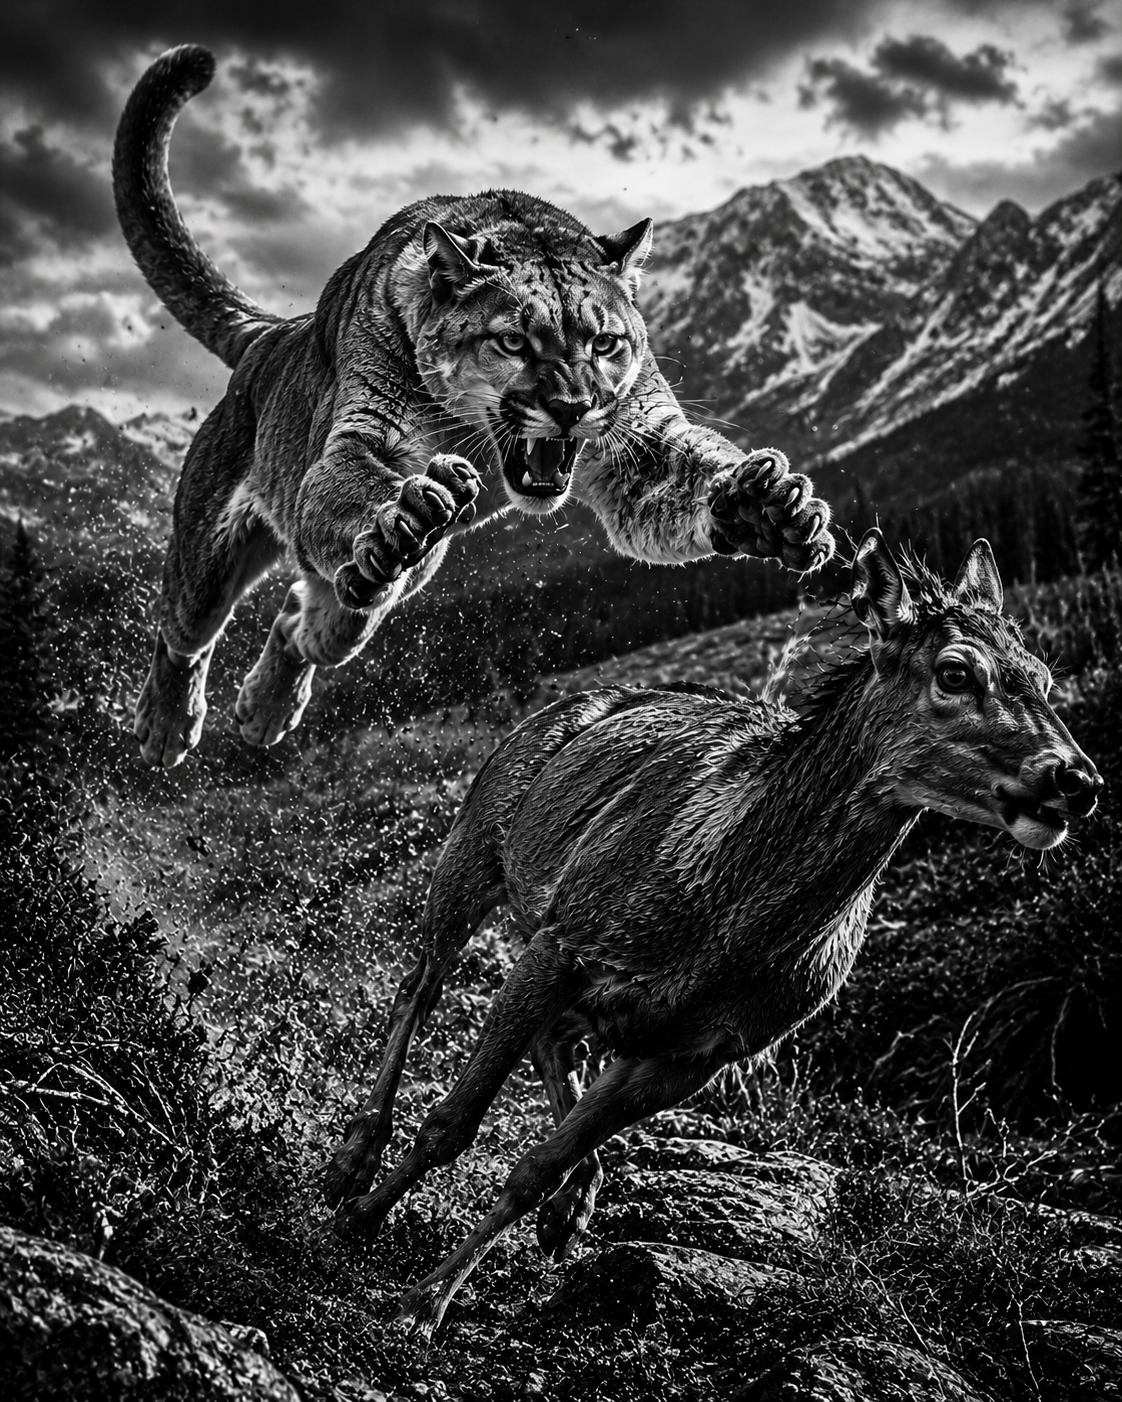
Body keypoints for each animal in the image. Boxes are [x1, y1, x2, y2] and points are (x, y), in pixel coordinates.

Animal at [113, 45, 835, 768]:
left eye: (604, 342)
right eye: (513, 341)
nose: (573, 406)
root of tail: (273, 336)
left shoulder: (638, 443)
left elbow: (689, 478)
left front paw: (765, 508)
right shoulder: (365, 439)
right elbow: (358, 486)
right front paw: (405, 515)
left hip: (373, 595)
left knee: (308, 616)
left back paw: (265, 711)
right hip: (210, 553)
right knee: (184, 630)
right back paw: (164, 725)